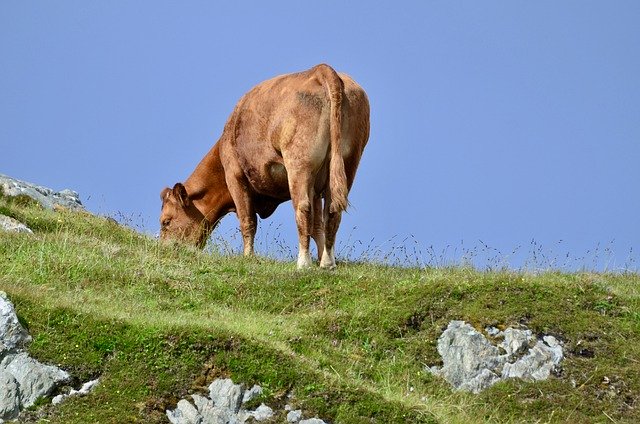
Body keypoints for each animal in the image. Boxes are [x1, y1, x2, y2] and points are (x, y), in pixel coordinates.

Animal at [159, 63, 370, 268]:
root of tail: (321, 69)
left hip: (299, 161)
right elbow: (317, 224)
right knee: (332, 211)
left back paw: (303, 263)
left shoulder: (234, 175)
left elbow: (248, 221)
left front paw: (248, 257)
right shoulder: (317, 187)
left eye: (166, 222)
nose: (164, 250)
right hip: (349, 161)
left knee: (303, 207)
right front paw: (320, 258)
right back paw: (328, 263)